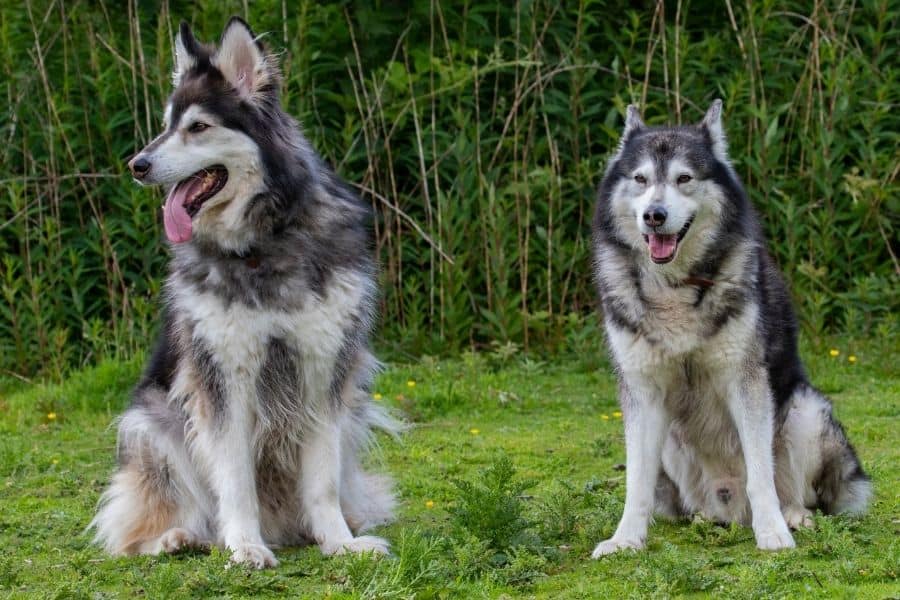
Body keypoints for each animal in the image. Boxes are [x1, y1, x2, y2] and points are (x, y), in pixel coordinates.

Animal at [91, 17, 398, 568]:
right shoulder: (223, 380)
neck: (262, 242)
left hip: (352, 412)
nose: (136, 164)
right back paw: (178, 537)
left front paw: (339, 541)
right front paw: (245, 546)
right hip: (153, 423)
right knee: (147, 522)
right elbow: (233, 480)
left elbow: (321, 481)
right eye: (166, 124)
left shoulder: (322, 372)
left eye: (197, 127)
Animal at [592, 101, 872, 556]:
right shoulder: (642, 392)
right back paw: (706, 516)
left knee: (794, 490)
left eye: (684, 178)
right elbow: (636, 483)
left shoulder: (746, 382)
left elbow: (761, 475)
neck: (676, 285)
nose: (654, 216)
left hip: (806, 411)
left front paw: (773, 532)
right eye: (641, 179)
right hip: (673, 441)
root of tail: (732, 508)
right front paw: (626, 539)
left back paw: (793, 515)